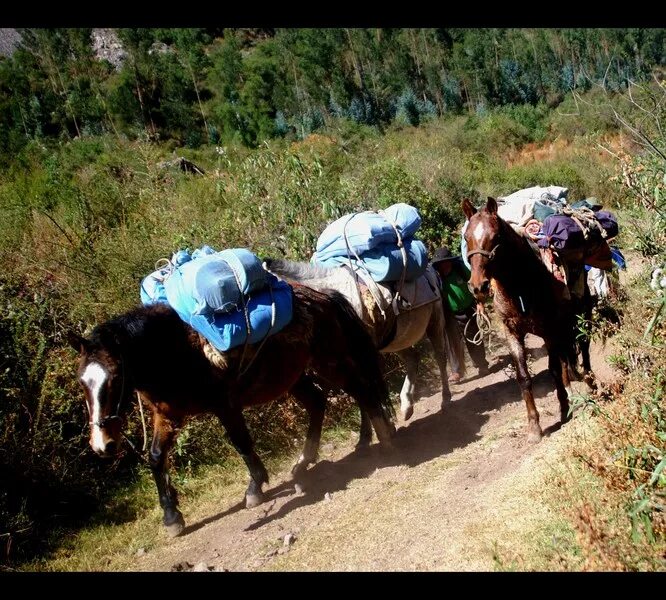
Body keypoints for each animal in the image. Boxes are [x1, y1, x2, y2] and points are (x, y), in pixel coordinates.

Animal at [68, 284, 394, 536]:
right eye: (82, 381)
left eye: (115, 377)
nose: (103, 445)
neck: (175, 352)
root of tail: (324, 296)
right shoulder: (167, 415)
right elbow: (156, 458)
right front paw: (172, 518)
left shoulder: (225, 404)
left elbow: (241, 443)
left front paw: (255, 488)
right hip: (293, 376)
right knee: (321, 400)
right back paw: (307, 461)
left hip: (330, 362)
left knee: (362, 389)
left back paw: (383, 440)